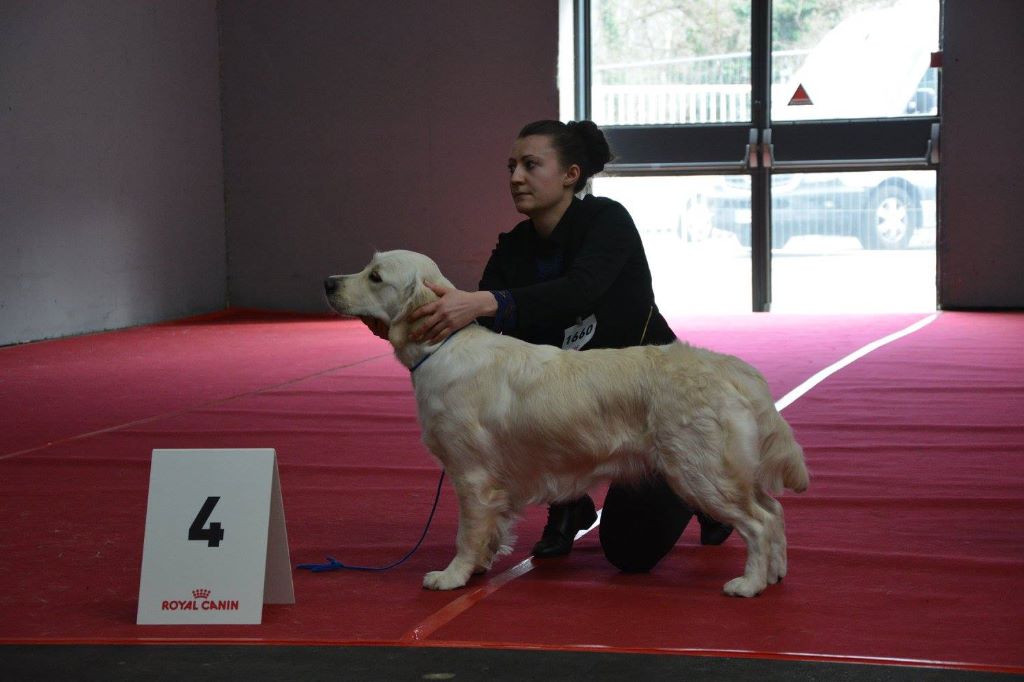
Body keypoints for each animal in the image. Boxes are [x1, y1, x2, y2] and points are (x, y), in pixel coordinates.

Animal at [325, 249, 806, 593]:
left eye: (375, 276)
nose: (328, 282)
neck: (441, 347)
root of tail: (730, 367)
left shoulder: (472, 475)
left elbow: (467, 532)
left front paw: (452, 576)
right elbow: (491, 530)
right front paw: (480, 566)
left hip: (699, 471)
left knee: (759, 522)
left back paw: (749, 584)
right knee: (775, 511)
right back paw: (776, 574)